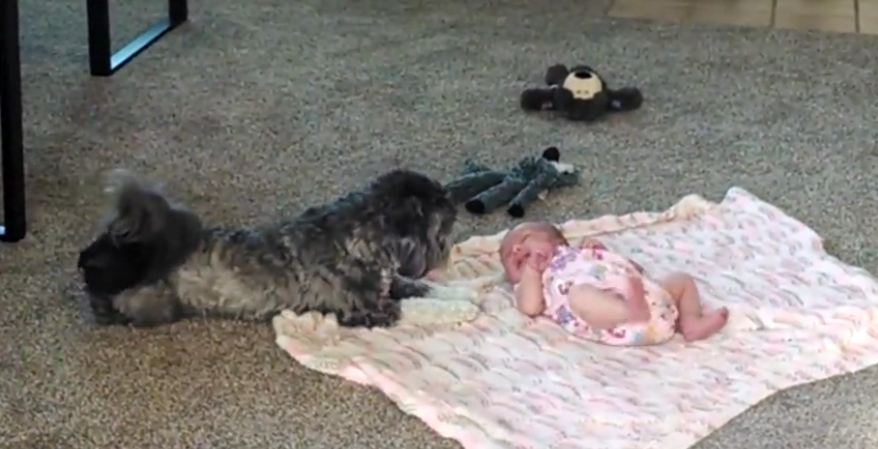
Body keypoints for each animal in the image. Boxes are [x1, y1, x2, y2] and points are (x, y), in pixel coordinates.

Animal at [77, 166, 468, 328]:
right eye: (443, 221)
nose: (456, 203)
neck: (357, 237)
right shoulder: (370, 310)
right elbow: (417, 307)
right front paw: (462, 310)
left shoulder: (392, 283)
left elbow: (424, 288)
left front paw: (463, 295)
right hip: (155, 302)